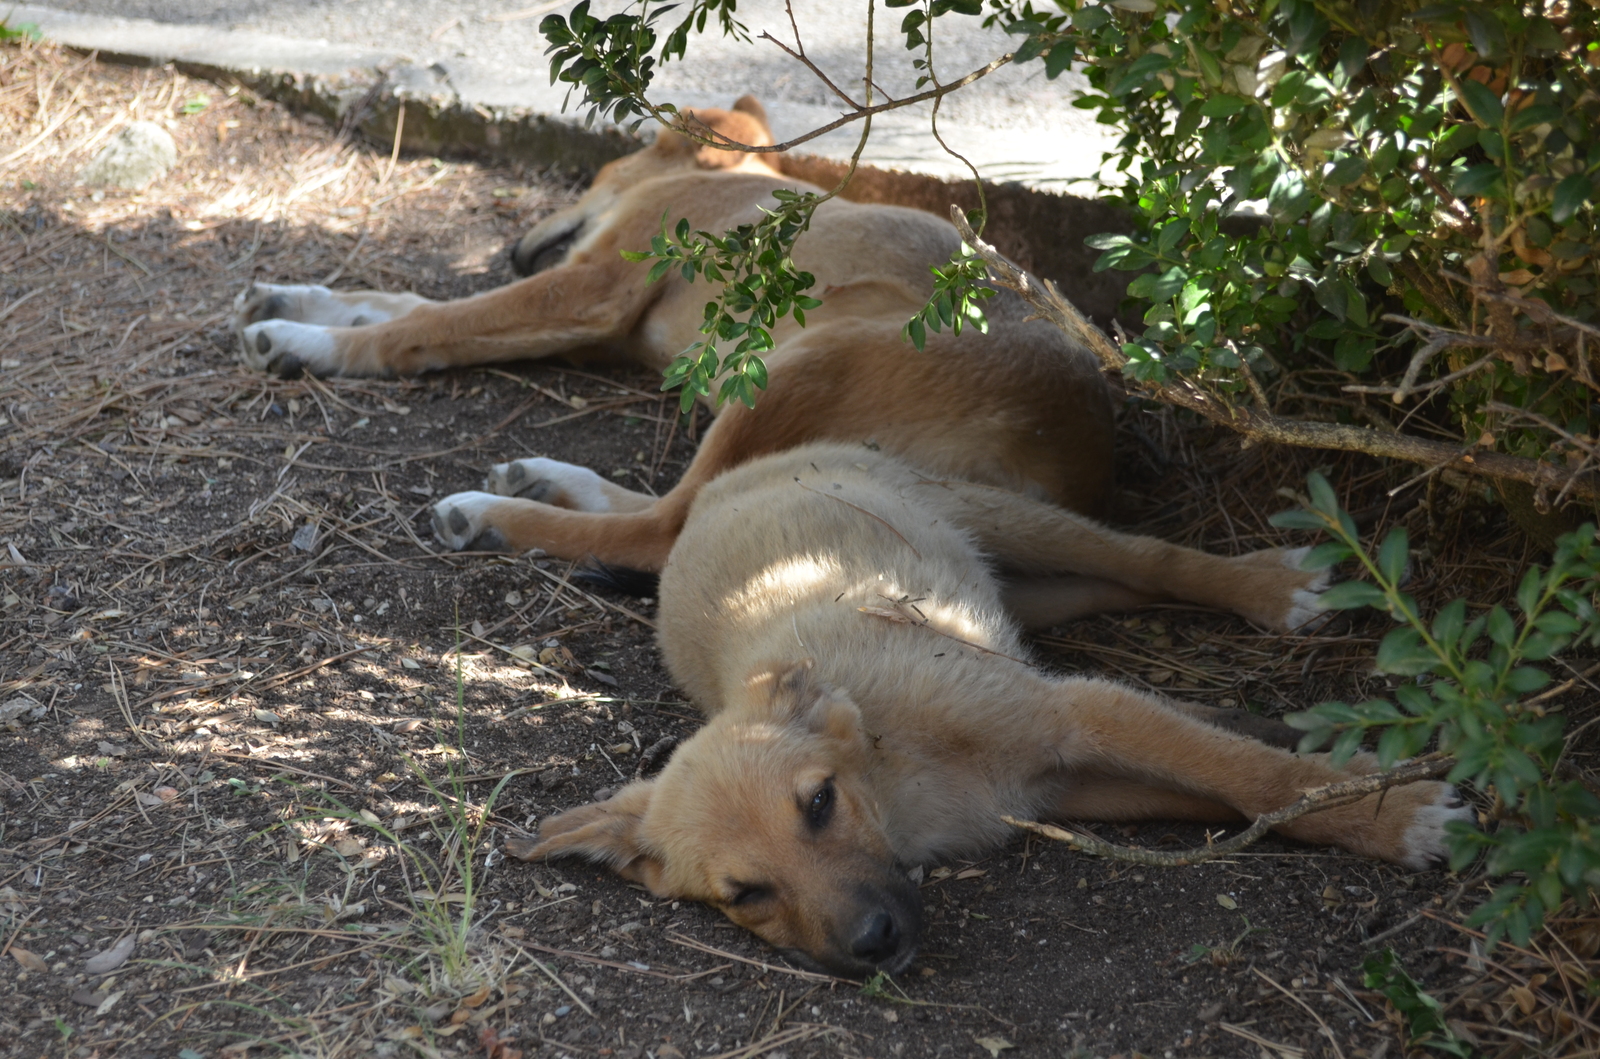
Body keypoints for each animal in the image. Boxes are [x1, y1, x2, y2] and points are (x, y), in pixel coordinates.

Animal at [512, 441, 1472, 979]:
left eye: (819, 803)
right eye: (746, 894)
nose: (874, 943)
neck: (898, 773)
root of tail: (710, 489)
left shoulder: (1077, 714)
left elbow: (1247, 776)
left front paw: (1392, 815)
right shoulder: (1062, 788)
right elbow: (1229, 794)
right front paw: (1354, 787)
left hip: (1006, 516)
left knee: (1147, 557)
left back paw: (1272, 588)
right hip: (1027, 586)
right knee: (1115, 587)